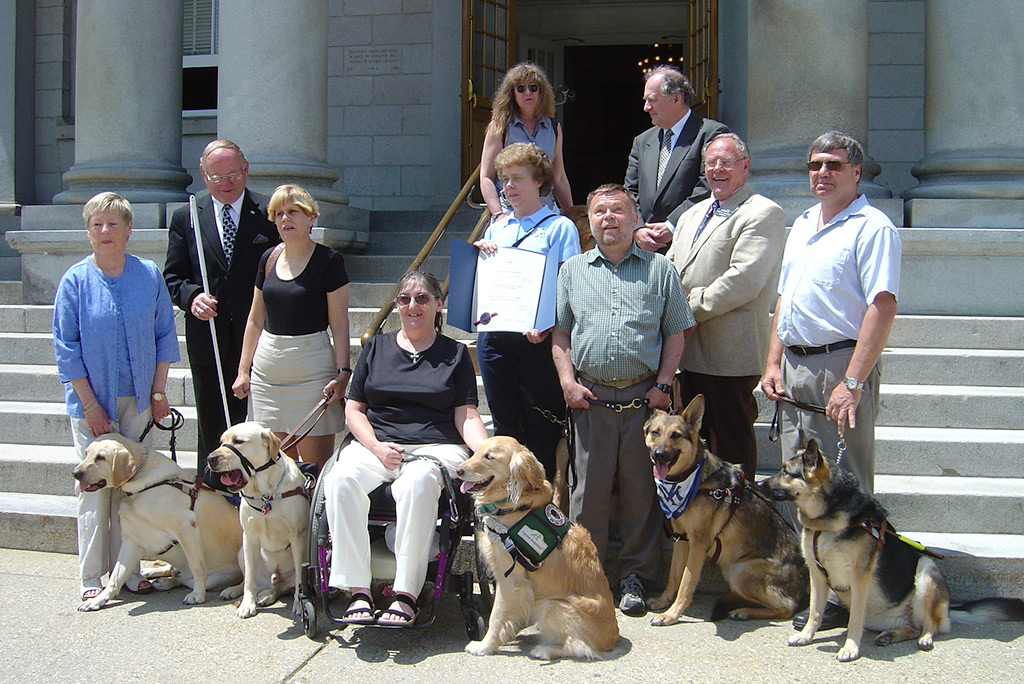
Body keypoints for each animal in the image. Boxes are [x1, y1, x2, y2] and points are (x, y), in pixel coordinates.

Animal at [647, 395, 806, 626]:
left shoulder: (698, 543)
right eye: (655, 433)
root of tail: (802, 587)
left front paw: (672, 614)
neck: (694, 480)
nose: (659, 455)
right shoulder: (681, 538)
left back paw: (745, 611)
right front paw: (663, 602)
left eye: (675, 435)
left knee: (786, 608)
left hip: (739, 571)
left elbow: (686, 582)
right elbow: (674, 576)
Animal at [761, 438, 1024, 663]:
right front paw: (806, 636)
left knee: (931, 625)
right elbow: (815, 611)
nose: (758, 484)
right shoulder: (817, 574)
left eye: (785, 472)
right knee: (911, 627)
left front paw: (850, 647)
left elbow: (854, 619)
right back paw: (891, 635)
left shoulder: (859, 577)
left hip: (926, 570)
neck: (826, 519)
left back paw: (925, 638)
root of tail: (948, 609)